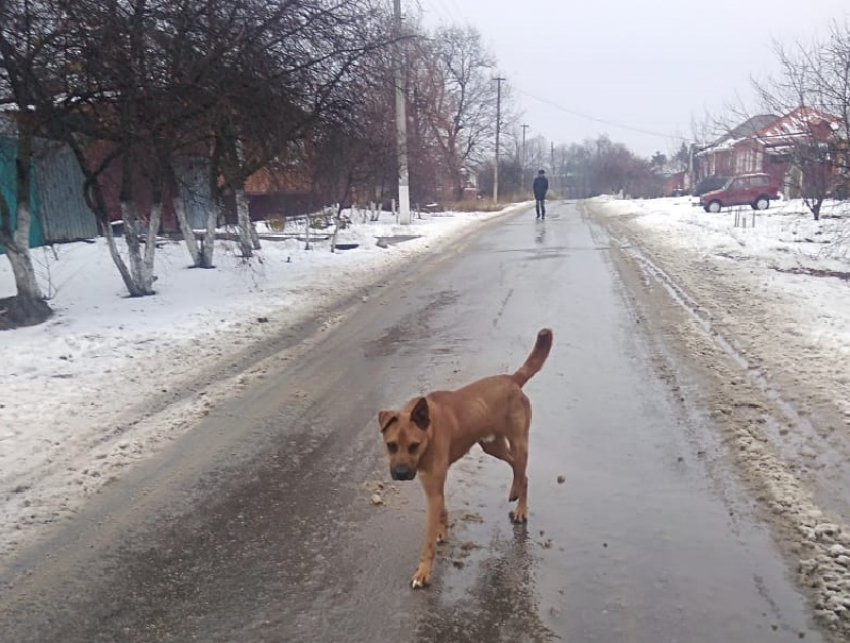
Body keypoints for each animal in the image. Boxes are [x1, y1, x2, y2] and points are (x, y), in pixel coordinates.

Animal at [376, 332, 548, 588]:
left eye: (414, 446)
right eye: (391, 445)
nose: (401, 474)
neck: (430, 432)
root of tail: (511, 379)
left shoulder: (433, 487)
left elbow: (427, 541)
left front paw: (423, 572)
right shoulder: (432, 486)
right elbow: (442, 511)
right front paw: (442, 532)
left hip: (519, 442)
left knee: (521, 469)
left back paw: (519, 505)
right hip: (492, 446)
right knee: (521, 472)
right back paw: (518, 496)